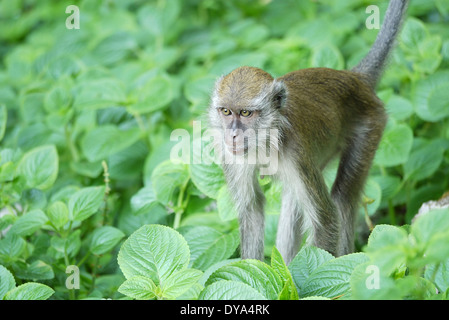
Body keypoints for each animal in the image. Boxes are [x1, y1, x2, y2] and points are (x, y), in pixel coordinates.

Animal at [208, 0, 408, 264]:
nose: (232, 135)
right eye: (226, 111)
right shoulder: (230, 155)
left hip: (371, 124)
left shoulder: (296, 153)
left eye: (246, 113)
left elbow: (327, 220)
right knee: (292, 201)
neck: (267, 139)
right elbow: (252, 210)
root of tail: (353, 77)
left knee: (344, 196)